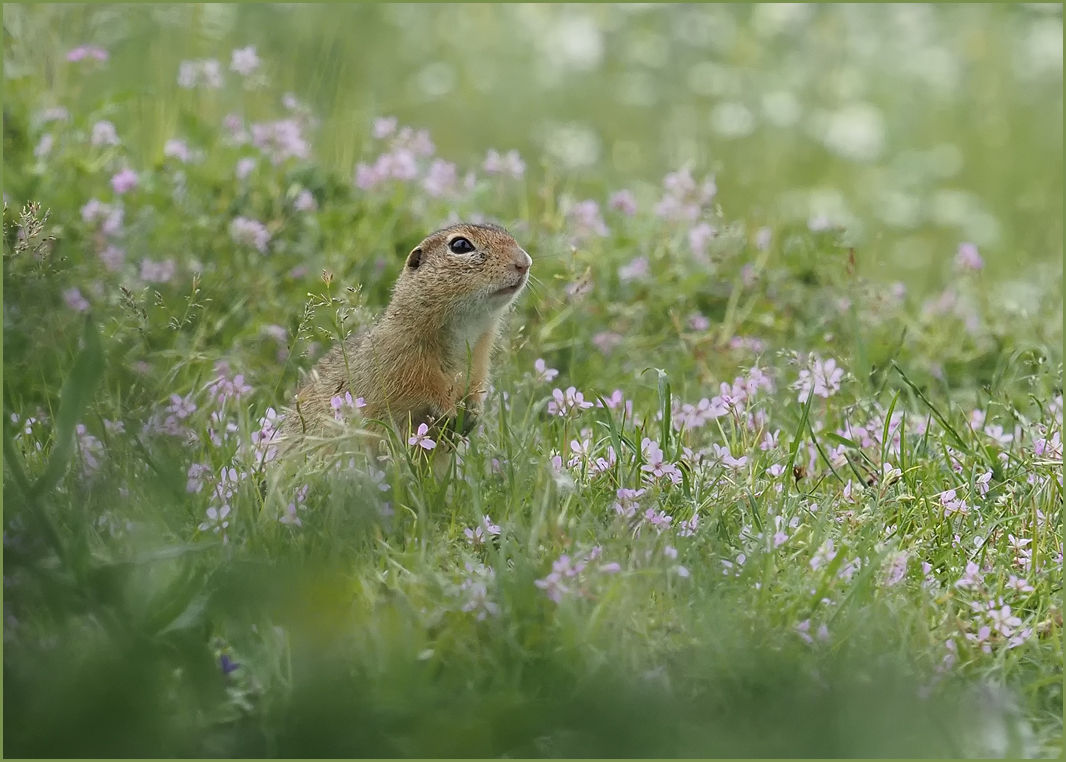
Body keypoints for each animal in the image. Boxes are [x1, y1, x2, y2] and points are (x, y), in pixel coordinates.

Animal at [279, 221, 533, 447]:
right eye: (460, 245)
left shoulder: (479, 362)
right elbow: (424, 390)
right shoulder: (401, 362)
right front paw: (449, 412)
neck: (465, 331)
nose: (525, 262)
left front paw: (473, 414)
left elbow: (476, 388)